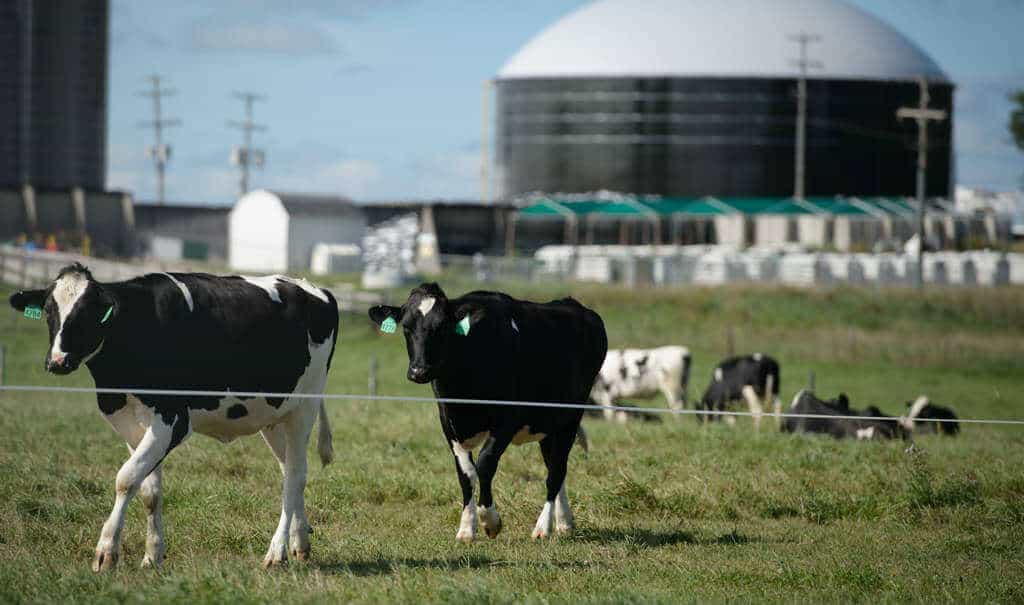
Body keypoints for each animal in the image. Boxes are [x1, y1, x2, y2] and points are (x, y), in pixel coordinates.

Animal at [8, 263, 337, 571]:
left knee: (294, 475)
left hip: (304, 408)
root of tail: (315, 289)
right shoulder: (130, 423)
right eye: (49, 310)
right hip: (272, 414)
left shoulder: (173, 420)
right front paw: (152, 555)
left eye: (90, 312)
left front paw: (106, 551)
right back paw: (300, 541)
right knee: (290, 469)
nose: (57, 361)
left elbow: (125, 479)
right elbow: (148, 490)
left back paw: (276, 552)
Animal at [368, 283, 607, 542]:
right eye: (406, 327)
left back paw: (543, 527)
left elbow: (484, 463)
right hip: (547, 423)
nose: (419, 371)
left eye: (441, 327)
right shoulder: (448, 421)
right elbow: (465, 473)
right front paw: (466, 528)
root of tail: (574, 304)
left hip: (571, 416)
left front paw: (490, 521)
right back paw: (564, 522)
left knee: (556, 469)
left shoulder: (507, 419)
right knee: (554, 465)